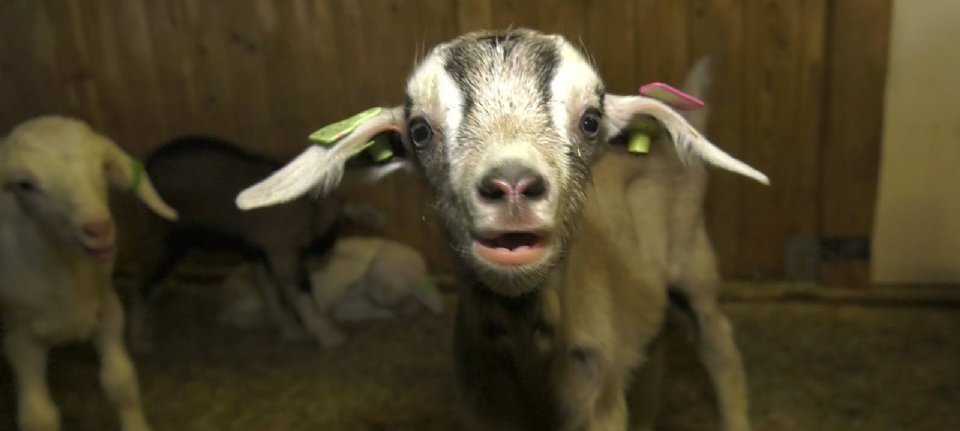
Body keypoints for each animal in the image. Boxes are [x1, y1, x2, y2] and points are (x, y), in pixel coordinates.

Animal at [0, 116, 178, 431]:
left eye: (103, 167)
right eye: (25, 185)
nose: (99, 229)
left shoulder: (108, 311)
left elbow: (121, 382)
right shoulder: (19, 338)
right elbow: (38, 416)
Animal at [236, 28, 768, 430]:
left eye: (590, 121)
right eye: (419, 130)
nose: (512, 184)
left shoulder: (596, 407)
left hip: (695, 269)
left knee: (720, 346)